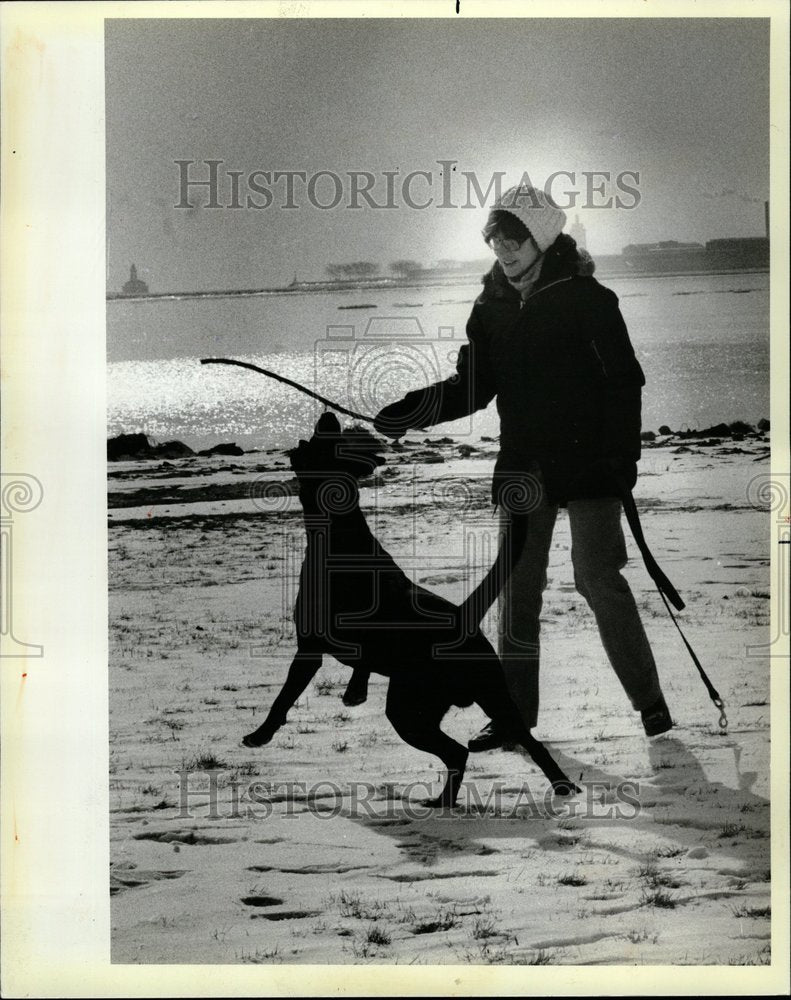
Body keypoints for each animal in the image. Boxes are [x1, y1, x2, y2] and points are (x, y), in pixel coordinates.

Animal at [243, 410, 580, 808]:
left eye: (331, 439)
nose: (328, 413)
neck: (340, 533)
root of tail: (463, 619)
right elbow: (358, 668)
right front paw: (354, 691)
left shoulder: (309, 647)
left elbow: (283, 697)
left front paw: (261, 734)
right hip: (492, 697)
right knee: (524, 742)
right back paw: (558, 786)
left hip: (409, 709)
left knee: (457, 751)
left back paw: (444, 802)